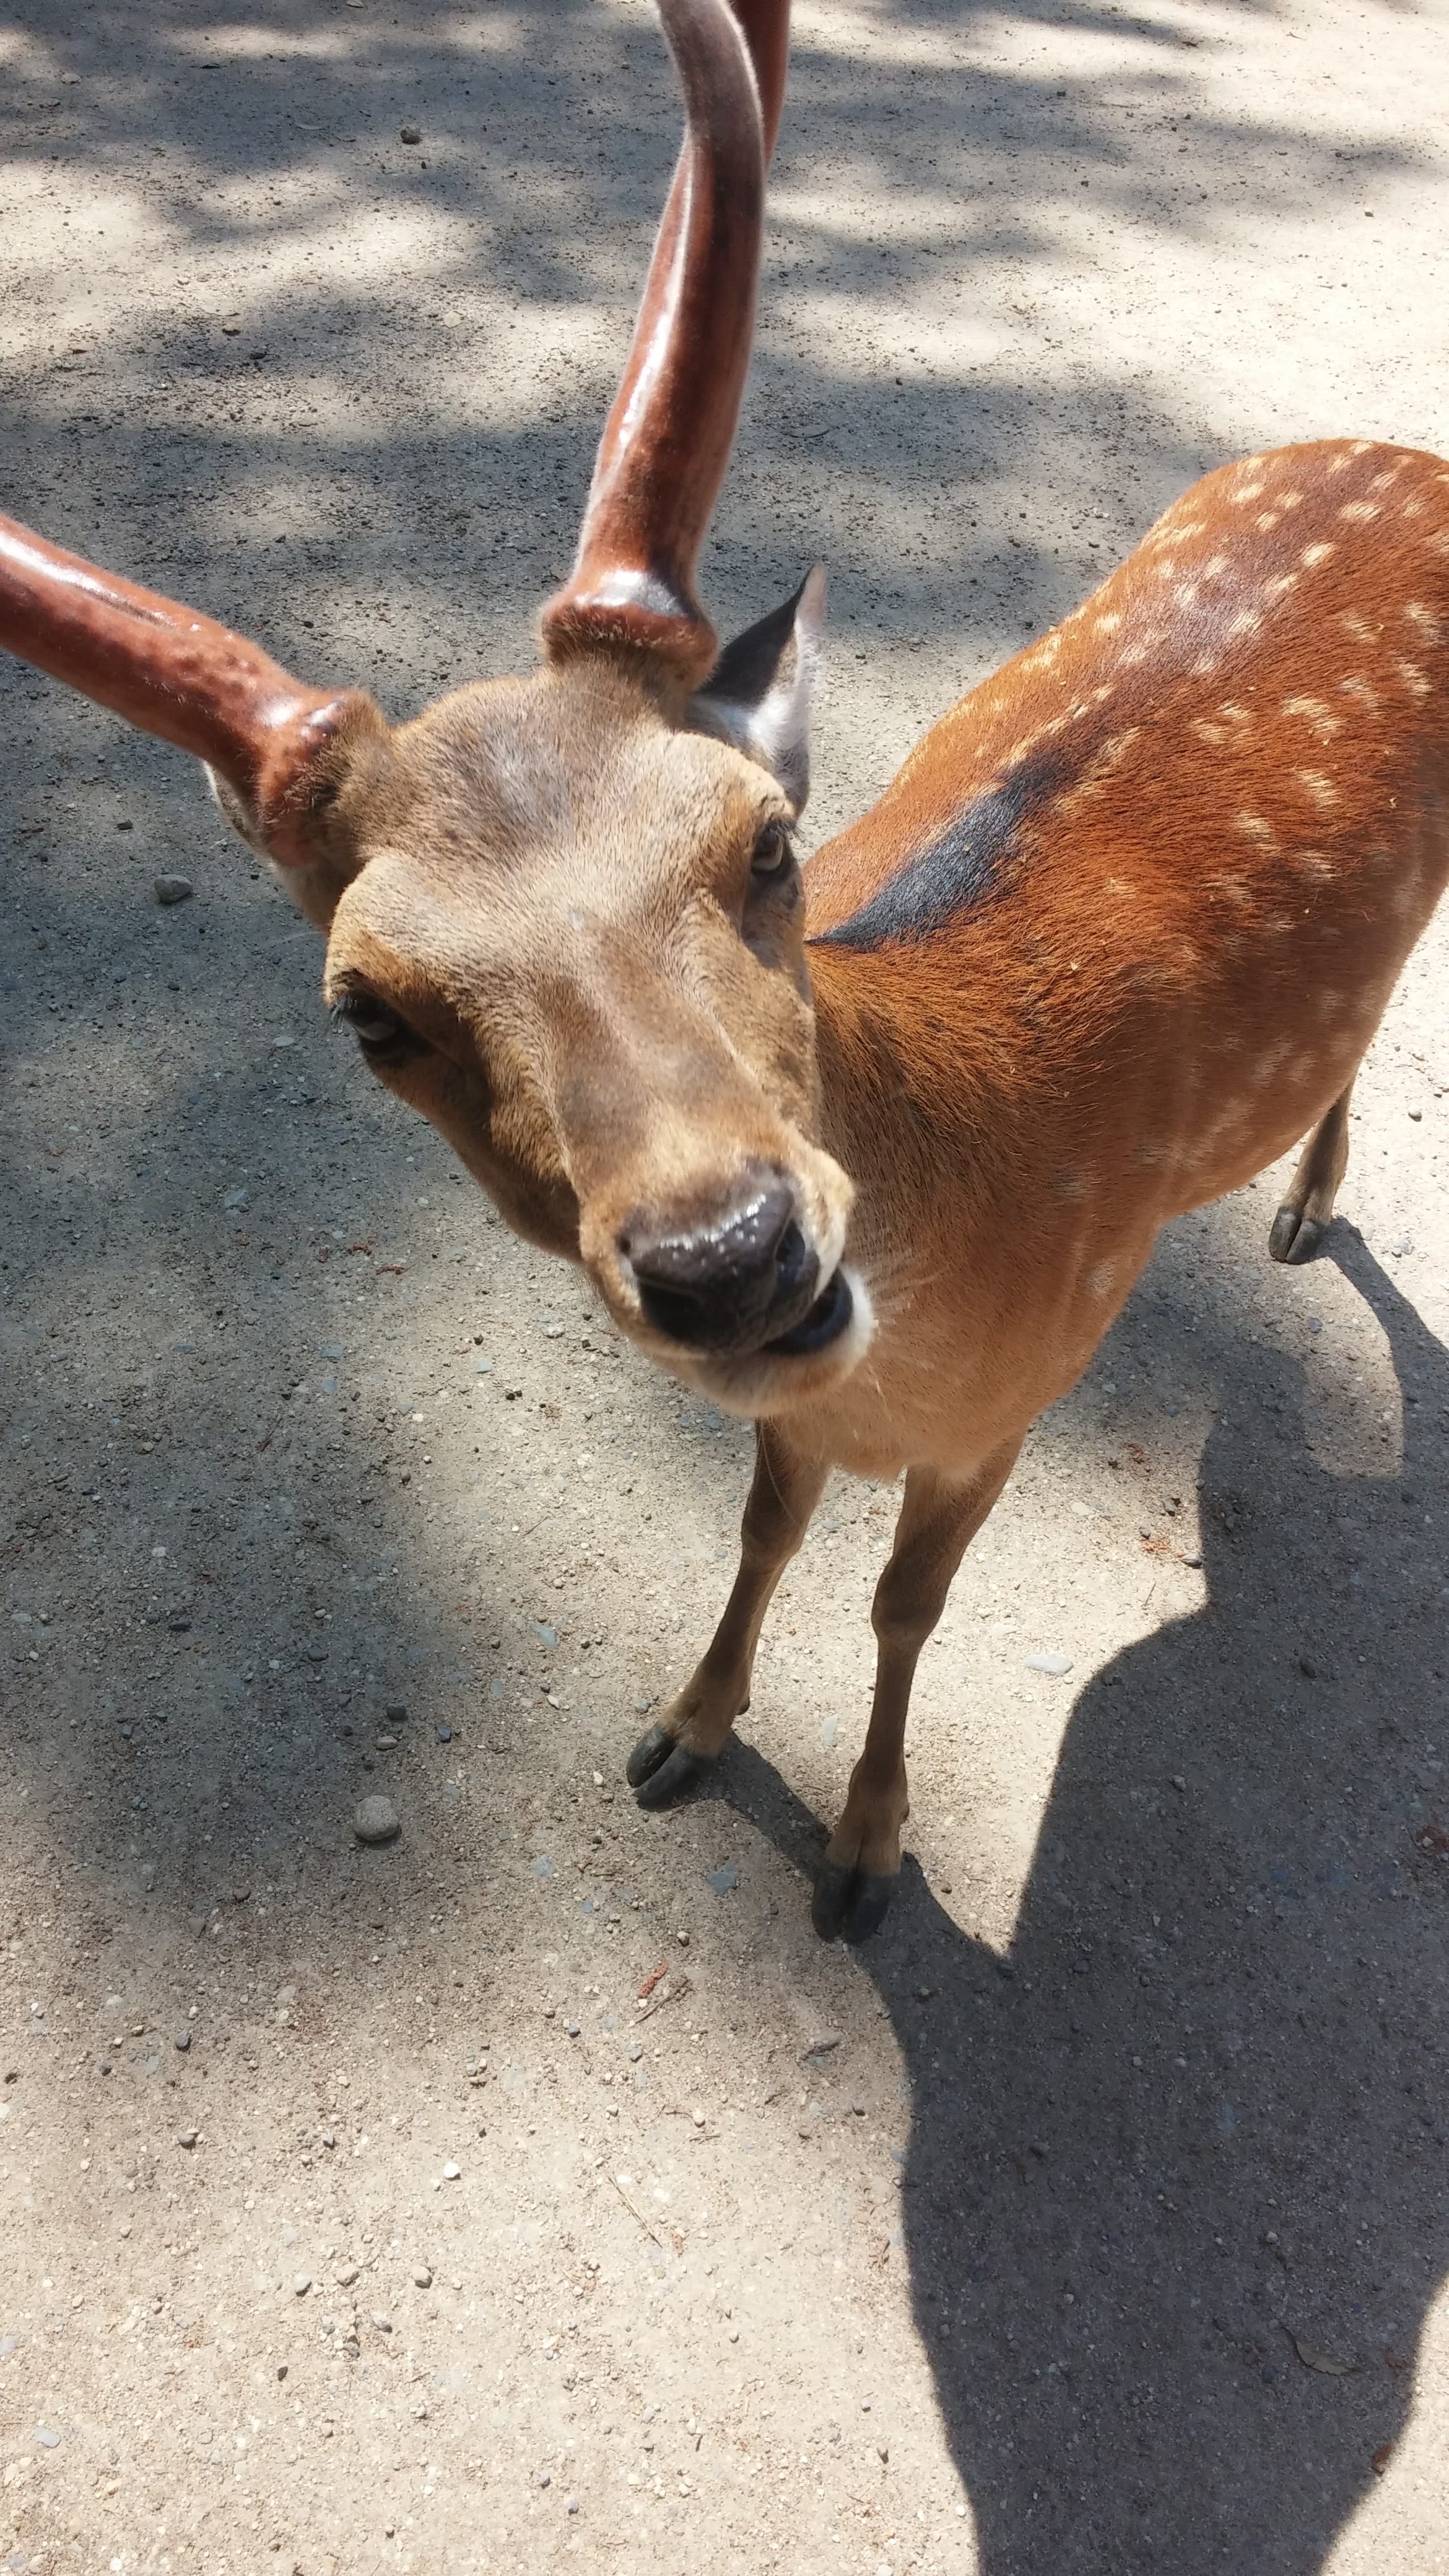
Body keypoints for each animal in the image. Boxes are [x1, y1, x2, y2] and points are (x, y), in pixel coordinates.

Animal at [2, 0, 1443, 1937]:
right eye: (367, 1012)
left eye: (766, 842)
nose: (729, 1255)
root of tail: (1402, 450)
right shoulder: (806, 1412)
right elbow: (762, 1530)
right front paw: (684, 1730)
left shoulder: (1023, 1390)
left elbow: (905, 1602)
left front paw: (866, 1850)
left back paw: (1301, 1208)